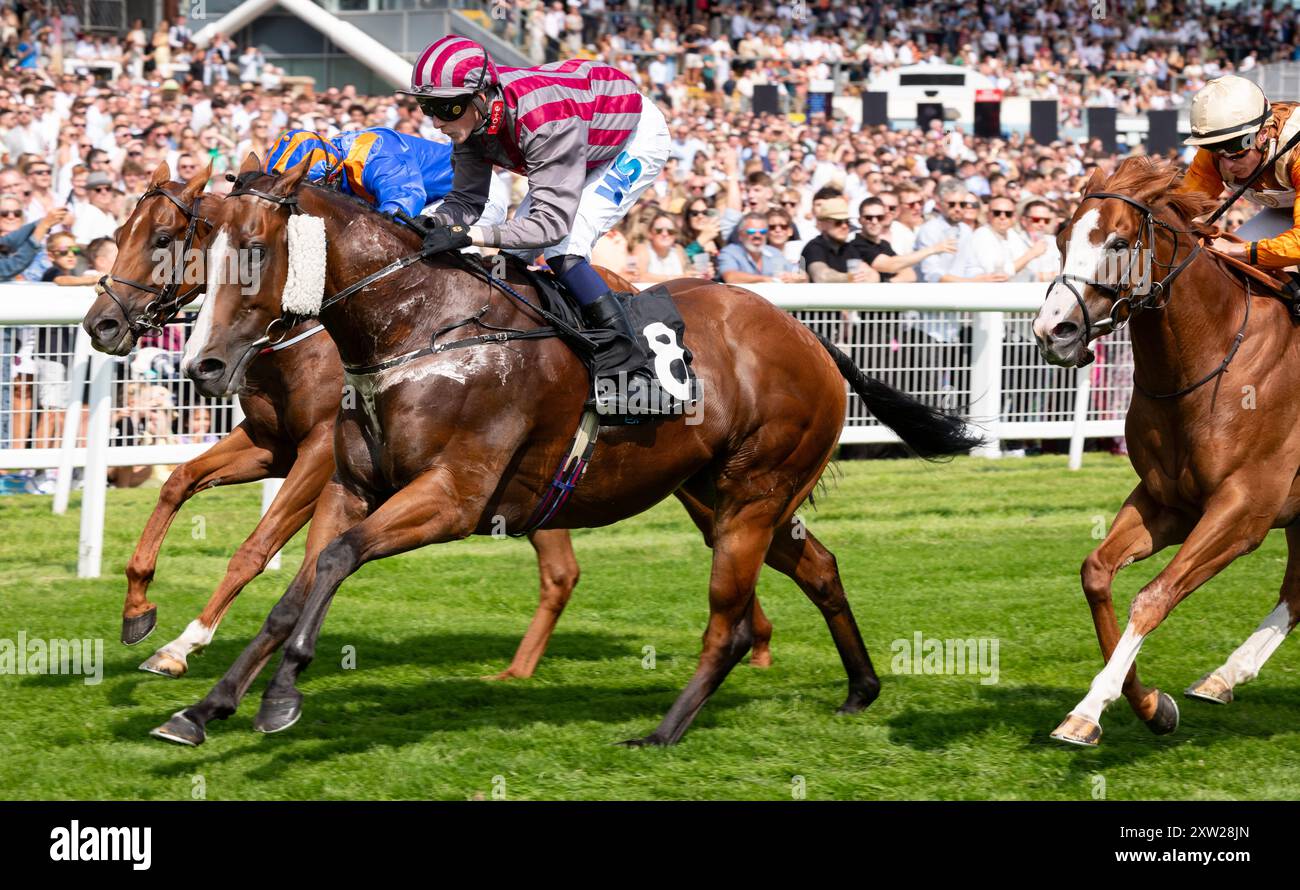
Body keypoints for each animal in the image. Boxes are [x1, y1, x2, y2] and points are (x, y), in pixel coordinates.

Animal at [79, 163, 691, 680]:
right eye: (121, 231)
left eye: (162, 240)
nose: (100, 325)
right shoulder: (270, 444)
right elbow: (179, 483)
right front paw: (138, 609)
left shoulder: (317, 453)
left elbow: (255, 548)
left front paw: (186, 644)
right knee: (562, 568)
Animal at [149, 155, 977, 748]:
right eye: (198, 252)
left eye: (255, 250)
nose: (203, 365)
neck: (420, 326)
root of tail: (809, 337)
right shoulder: (350, 485)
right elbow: (297, 589)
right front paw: (203, 706)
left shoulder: (452, 499)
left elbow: (336, 559)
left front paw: (280, 697)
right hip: (725, 496)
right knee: (819, 567)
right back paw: (861, 688)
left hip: (755, 492)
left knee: (731, 622)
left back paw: (662, 732)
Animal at [1034, 155, 1300, 748]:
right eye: (1062, 238)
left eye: (1118, 241)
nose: (1051, 331)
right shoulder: (1167, 502)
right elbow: (1095, 572)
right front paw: (1152, 705)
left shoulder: (1244, 510)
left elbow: (1154, 596)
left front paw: (1088, 708)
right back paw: (1224, 677)